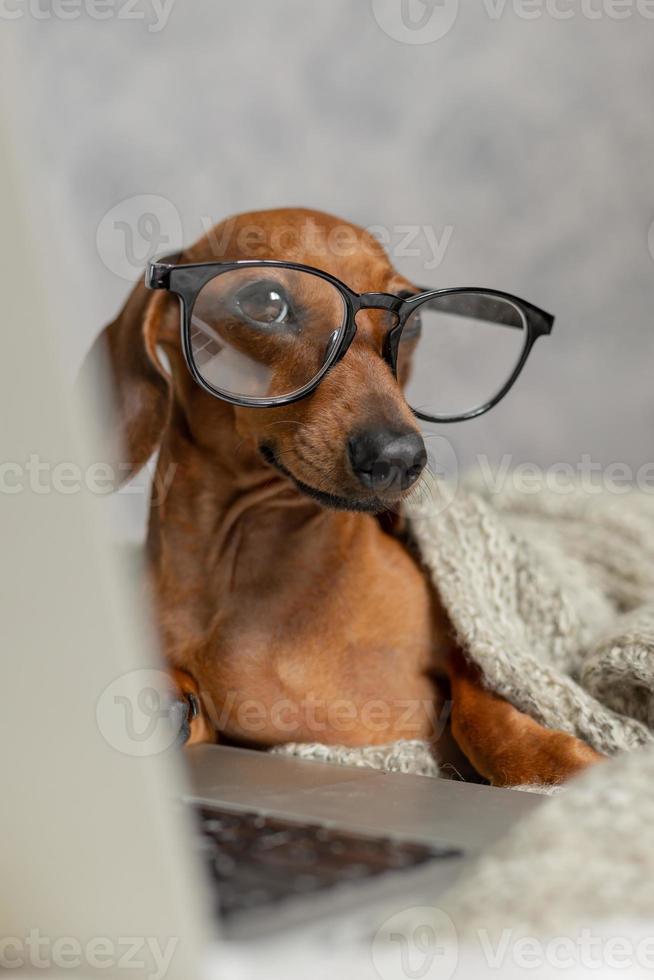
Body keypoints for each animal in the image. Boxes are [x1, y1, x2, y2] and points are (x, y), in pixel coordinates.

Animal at [89, 207, 608, 788]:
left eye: (414, 321)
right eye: (265, 302)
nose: (399, 457)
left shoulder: (466, 647)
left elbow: (482, 701)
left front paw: (552, 762)